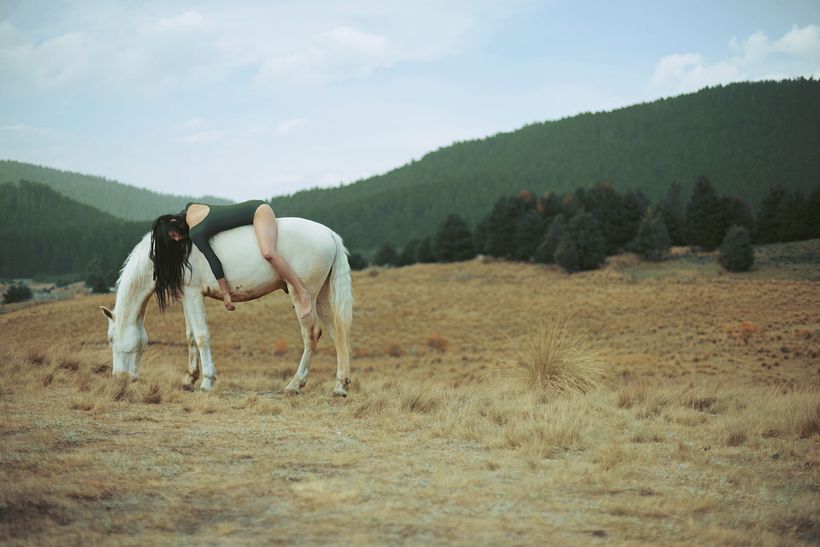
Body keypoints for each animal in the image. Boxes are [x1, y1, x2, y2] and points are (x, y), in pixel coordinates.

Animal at [99, 217, 353, 397]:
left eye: (111, 339)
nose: (119, 377)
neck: (173, 249)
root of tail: (328, 234)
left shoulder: (194, 294)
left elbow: (202, 337)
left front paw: (207, 382)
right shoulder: (186, 297)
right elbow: (190, 336)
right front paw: (189, 380)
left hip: (302, 296)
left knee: (311, 335)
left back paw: (295, 384)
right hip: (320, 298)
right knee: (337, 334)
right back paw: (340, 386)